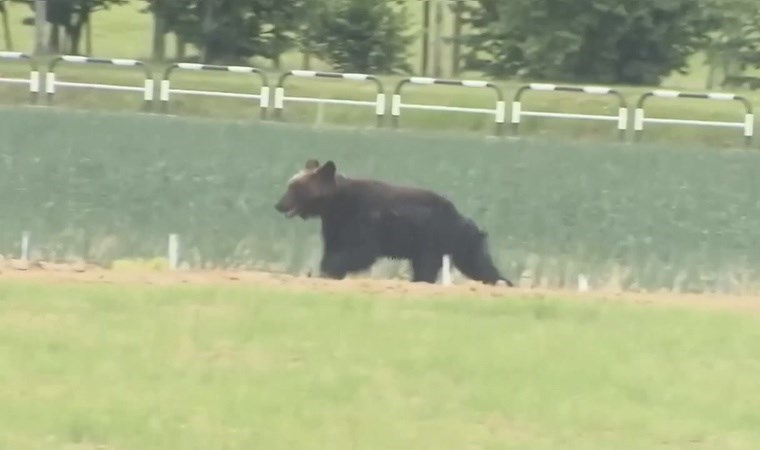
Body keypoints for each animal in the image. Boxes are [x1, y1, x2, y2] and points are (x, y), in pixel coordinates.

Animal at [276, 159, 512, 284]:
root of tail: (464, 217)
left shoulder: (363, 219)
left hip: (438, 239)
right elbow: (334, 248)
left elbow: (361, 250)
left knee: (470, 264)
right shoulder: (335, 225)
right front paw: (325, 271)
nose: (279, 204)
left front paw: (329, 270)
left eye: (294, 188)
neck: (335, 205)